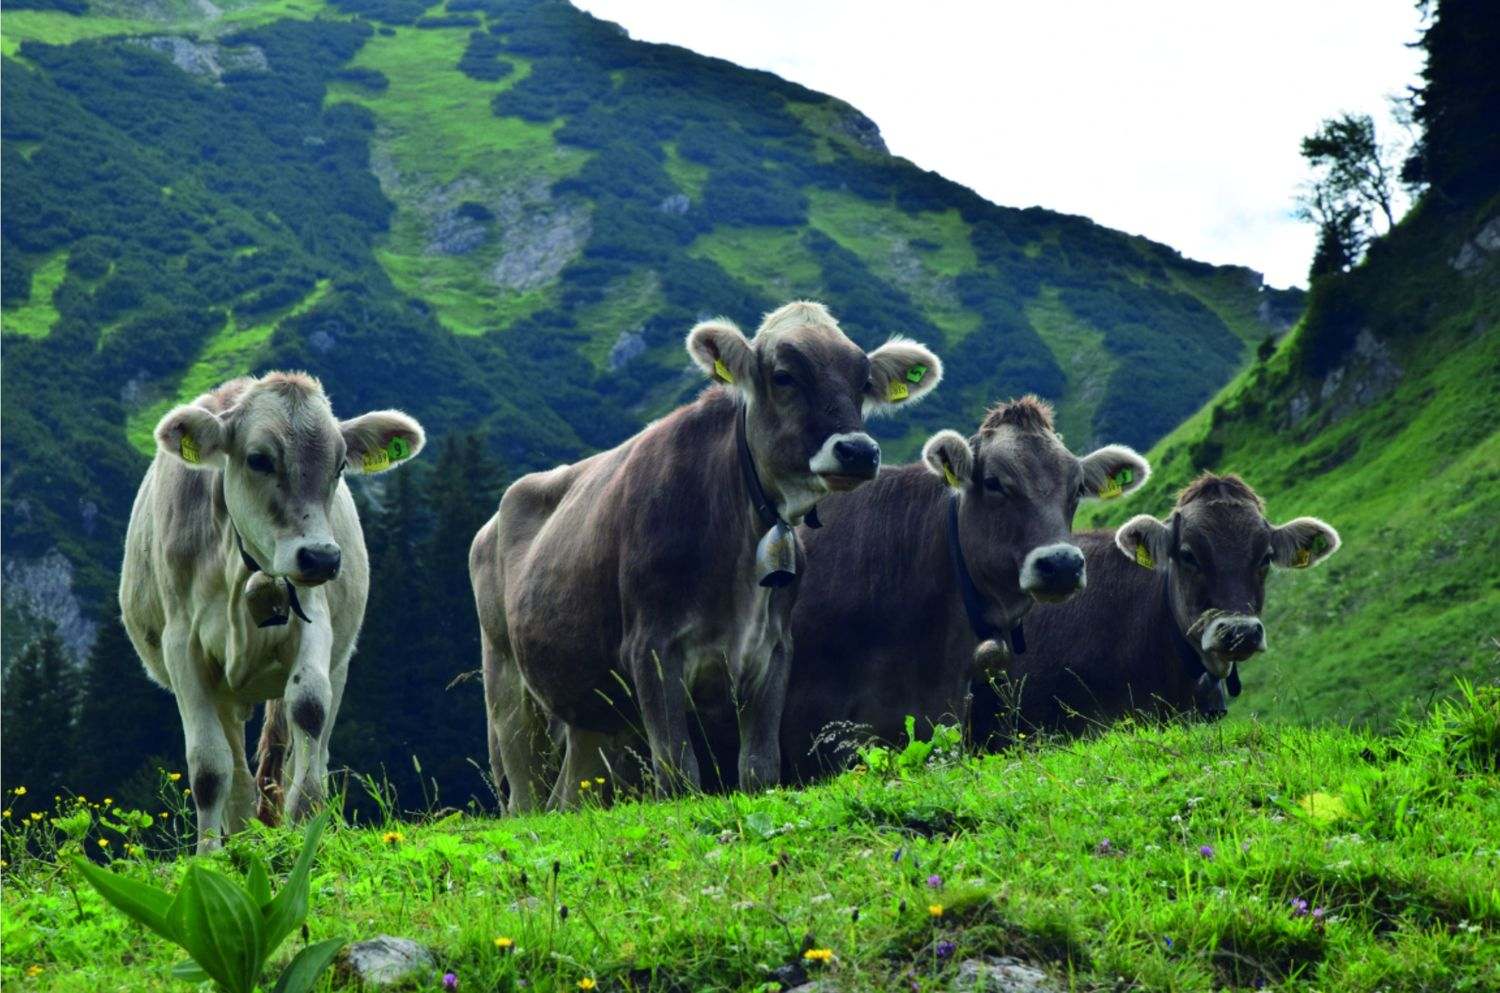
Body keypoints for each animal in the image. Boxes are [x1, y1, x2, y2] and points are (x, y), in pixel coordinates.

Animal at [120, 372, 425, 852]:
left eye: (340, 465)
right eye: (258, 459)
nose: (320, 558)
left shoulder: (314, 618)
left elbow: (310, 709)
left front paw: (304, 821)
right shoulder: (181, 646)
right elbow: (208, 766)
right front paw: (208, 854)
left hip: (337, 660)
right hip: (223, 691)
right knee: (237, 771)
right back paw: (241, 836)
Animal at [471, 301, 942, 811]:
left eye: (862, 380)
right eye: (783, 376)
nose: (857, 451)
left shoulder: (773, 649)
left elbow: (759, 769)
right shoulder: (651, 649)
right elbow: (679, 774)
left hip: (594, 712)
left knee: (570, 796)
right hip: (507, 686)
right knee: (525, 797)